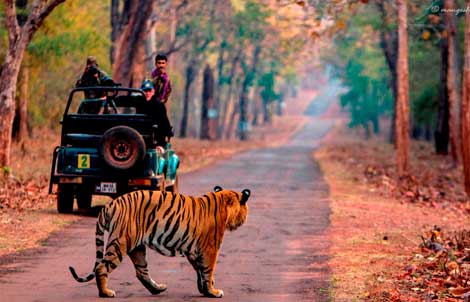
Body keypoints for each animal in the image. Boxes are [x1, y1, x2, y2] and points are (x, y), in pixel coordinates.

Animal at [69, 185, 250, 298]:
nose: (245, 219)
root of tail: (110, 204)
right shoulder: (210, 249)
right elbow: (208, 270)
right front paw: (213, 292)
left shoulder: (194, 251)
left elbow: (200, 271)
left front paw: (205, 289)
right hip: (120, 242)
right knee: (101, 267)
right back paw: (105, 293)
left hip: (137, 247)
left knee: (141, 272)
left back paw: (158, 289)